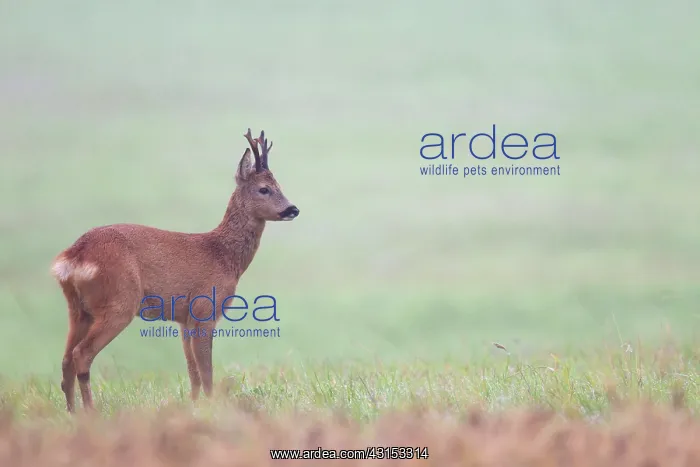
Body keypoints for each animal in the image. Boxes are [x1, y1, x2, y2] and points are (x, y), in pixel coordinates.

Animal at [50, 129, 299, 413]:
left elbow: (193, 374)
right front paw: (213, 408)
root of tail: (75, 253)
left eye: (280, 186)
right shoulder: (205, 309)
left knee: (66, 360)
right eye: (264, 189)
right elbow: (207, 373)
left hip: (78, 308)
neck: (224, 256)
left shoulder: (184, 319)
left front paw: (193, 407)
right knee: (81, 354)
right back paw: (91, 412)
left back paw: (72, 412)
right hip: (118, 302)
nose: (293, 209)